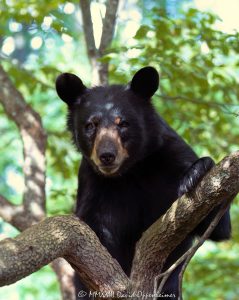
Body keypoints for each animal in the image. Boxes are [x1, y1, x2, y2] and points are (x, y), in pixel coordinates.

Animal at [55, 67, 231, 298]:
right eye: (90, 125)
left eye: (123, 123)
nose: (107, 156)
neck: (132, 171)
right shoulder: (91, 185)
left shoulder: (169, 155)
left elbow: (219, 227)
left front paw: (197, 172)